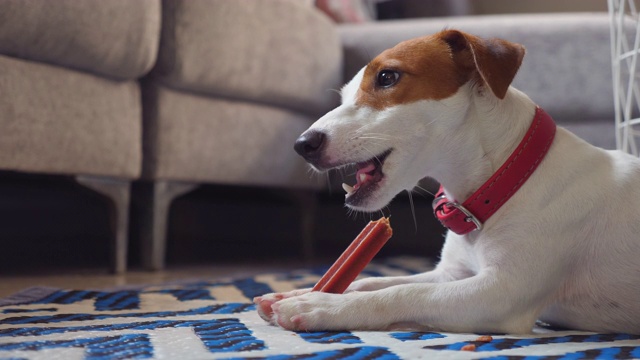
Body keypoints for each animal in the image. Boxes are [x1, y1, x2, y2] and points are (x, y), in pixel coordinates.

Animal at [252, 28, 636, 334]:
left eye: (387, 77)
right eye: (345, 95)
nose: (302, 145)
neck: (505, 178)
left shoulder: (501, 292)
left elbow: (402, 293)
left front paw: (320, 306)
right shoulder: (451, 275)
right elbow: (374, 280)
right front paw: (301, 291)